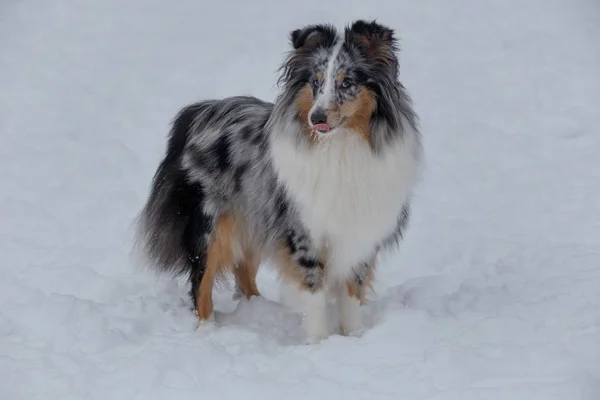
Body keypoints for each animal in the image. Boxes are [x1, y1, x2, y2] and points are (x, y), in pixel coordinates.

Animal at [135, 20, 422, 342]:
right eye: (315, 82)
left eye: (347, 83)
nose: (316, 118)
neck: (339, 147)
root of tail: (199, 111)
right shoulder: (302, 229)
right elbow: (315, 291)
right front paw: (319, 340)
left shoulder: (361, 233)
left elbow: (352, 291)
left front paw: (354, 335)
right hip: (211, 223)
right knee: (201, 279)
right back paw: (208, 329)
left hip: (254, 215)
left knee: (244, 271)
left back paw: (257, 308)